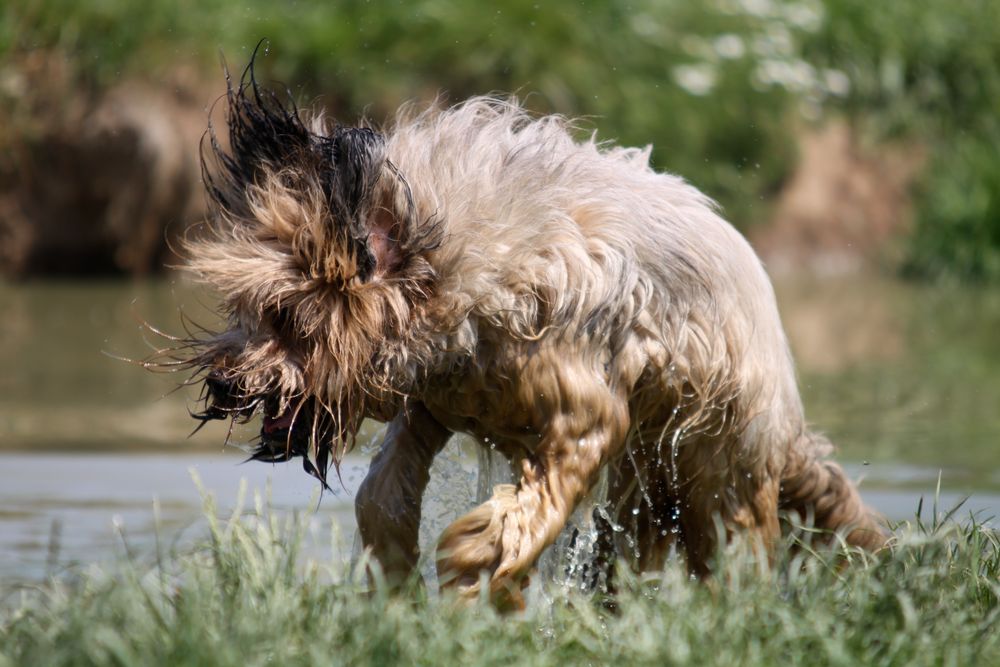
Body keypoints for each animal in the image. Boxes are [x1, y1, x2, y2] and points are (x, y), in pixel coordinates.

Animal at [172, 60, 884, 608]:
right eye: (242, 309)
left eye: (289, 319)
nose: (223, 384)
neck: (469, 273)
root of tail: (788, 420)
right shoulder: (434, 400)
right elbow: (386, 493)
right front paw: (396, 576)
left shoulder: (585, 418)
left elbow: (518, 518)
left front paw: (475, 577)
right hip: (651, 485)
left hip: (718, 459)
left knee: (733, 544)